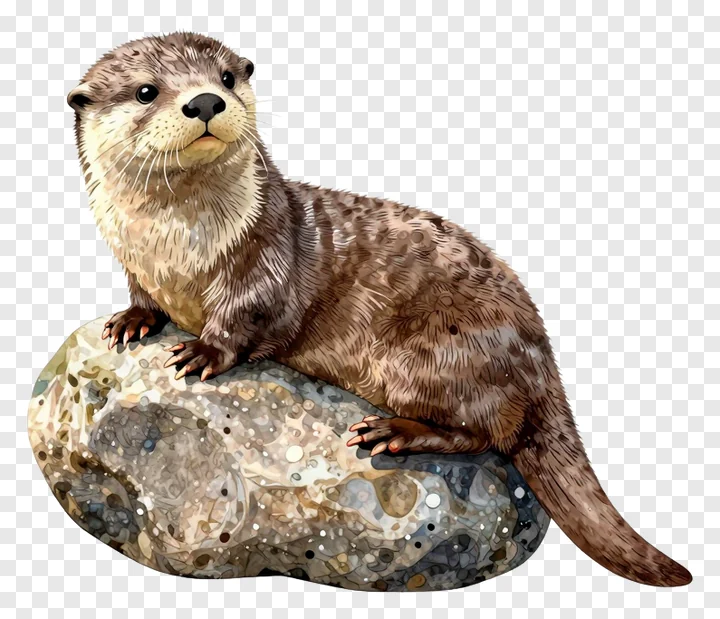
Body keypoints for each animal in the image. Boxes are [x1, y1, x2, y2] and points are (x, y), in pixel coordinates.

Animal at [67, 32, 691, 587]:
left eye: (226, 78)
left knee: (485, 434)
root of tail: (540, 358)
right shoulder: (131, 258)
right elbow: (140, 294)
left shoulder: (266, 258)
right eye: (146, 91)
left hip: (430, 356)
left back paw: (393, 432)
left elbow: (243, 319)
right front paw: (133, 320)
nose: (204, 101)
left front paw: (202, 352)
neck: (176, 250)